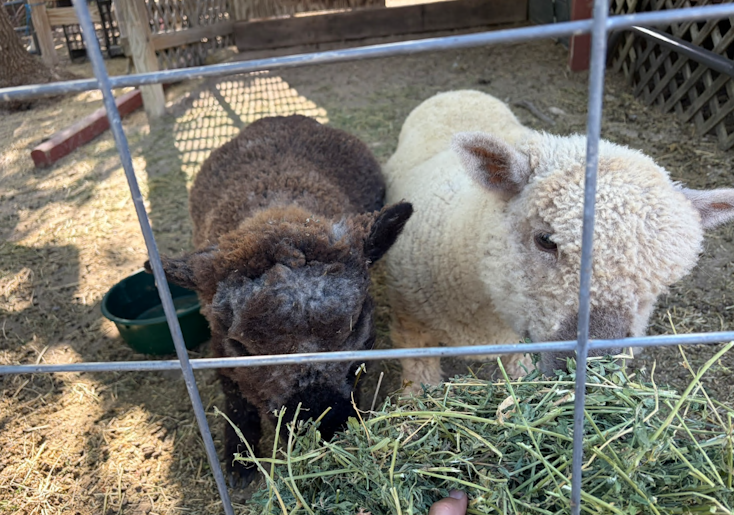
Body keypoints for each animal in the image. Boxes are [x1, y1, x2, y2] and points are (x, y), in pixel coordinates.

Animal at [148, 115, 413, 487]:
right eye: (241, 346)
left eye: (357, 325)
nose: (323, 424)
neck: (276, 208)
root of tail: (282, 117)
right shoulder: (220, 350)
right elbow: (236, 401)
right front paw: (239, 460)